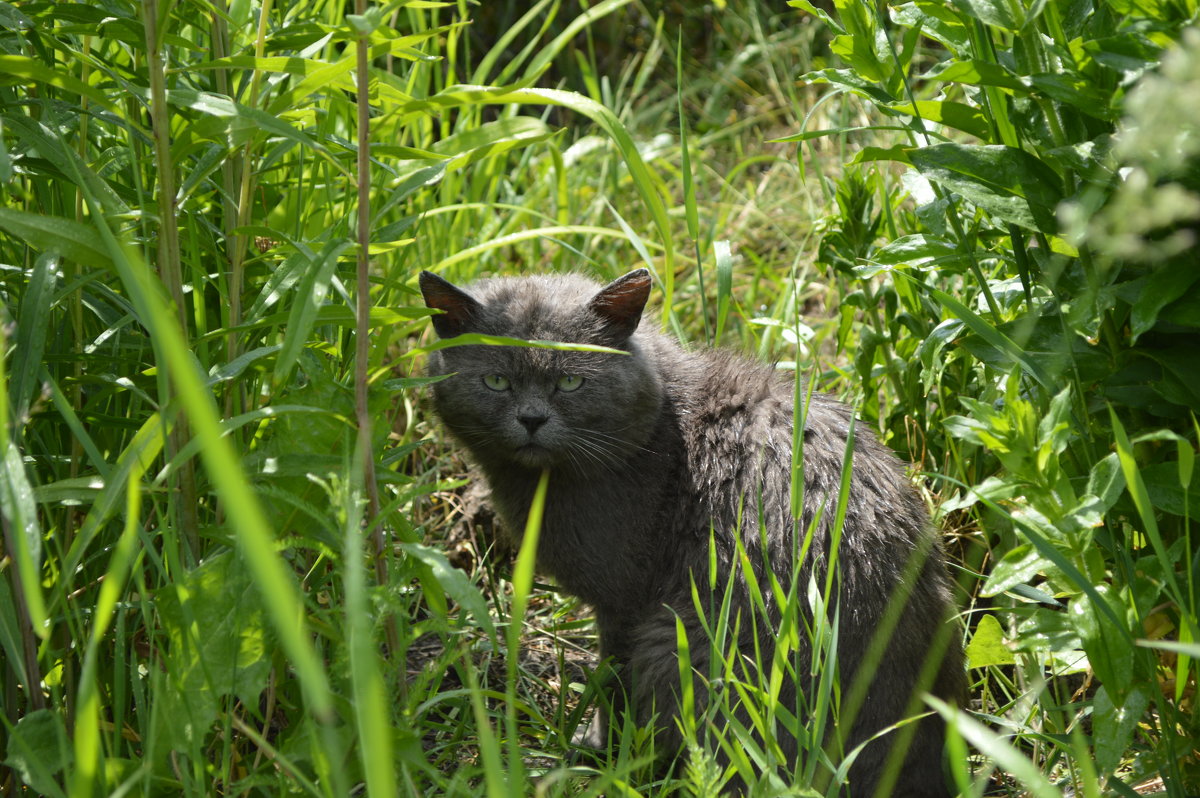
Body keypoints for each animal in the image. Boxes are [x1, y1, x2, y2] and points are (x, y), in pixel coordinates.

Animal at [422, 268, 964, 796]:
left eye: (571, 382)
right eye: (496, 381)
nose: (531, 419)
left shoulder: (624, 603)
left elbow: (612, 681)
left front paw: (600, 750)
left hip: (674, 642)